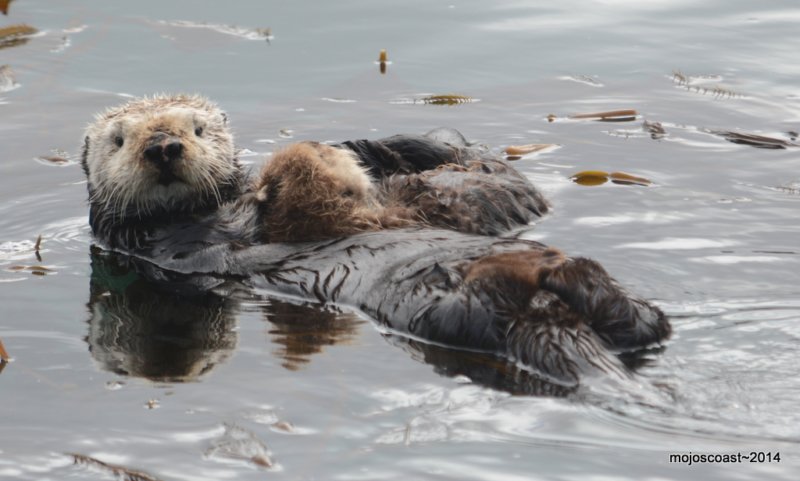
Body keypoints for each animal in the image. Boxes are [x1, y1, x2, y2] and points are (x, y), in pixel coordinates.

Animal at [81, 94, 668, 384]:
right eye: (119, 140)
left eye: (198, 129)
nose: (163, 145)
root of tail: (552, 318)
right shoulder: (171, 245)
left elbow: (497, 189)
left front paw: (361, 146)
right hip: (460, 315)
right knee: (498, 295)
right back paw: (540, 268)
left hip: (625, 314)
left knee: (642, 322)